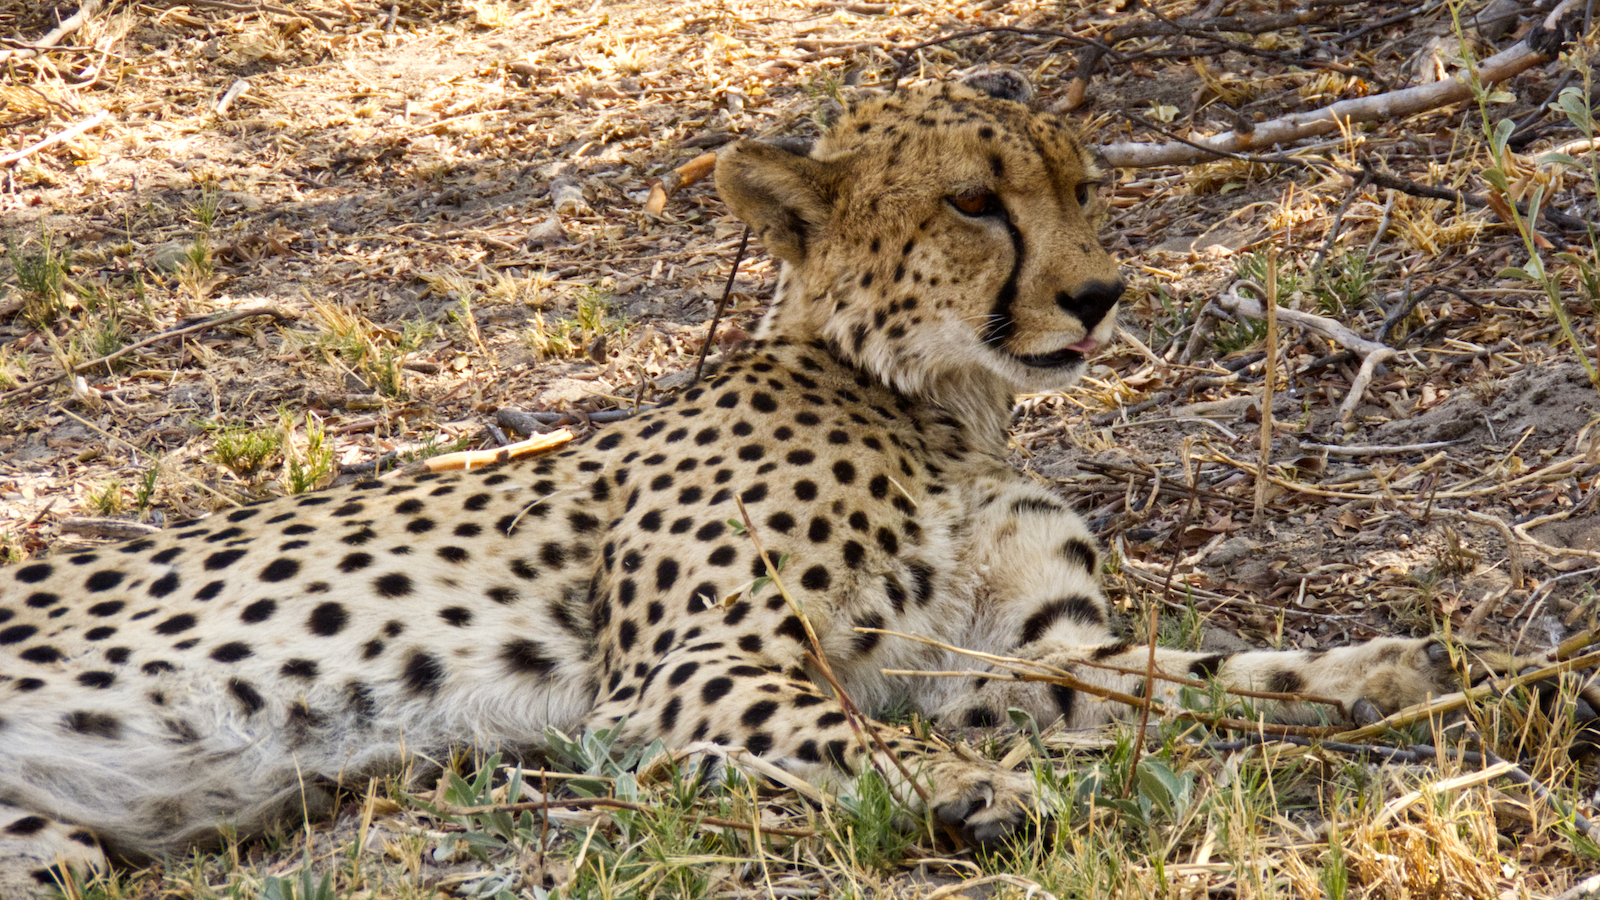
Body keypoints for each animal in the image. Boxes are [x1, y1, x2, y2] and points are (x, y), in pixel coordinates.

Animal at [6, 68, 1593, 890]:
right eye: (975, 201)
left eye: (1083, 186)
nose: (1100, 297)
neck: (940, 407)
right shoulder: (697, 666)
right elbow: (852, 730)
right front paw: (978, 789)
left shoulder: (1010, 651)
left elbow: (1200, 674)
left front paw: (1393, 672)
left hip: (49, 849)